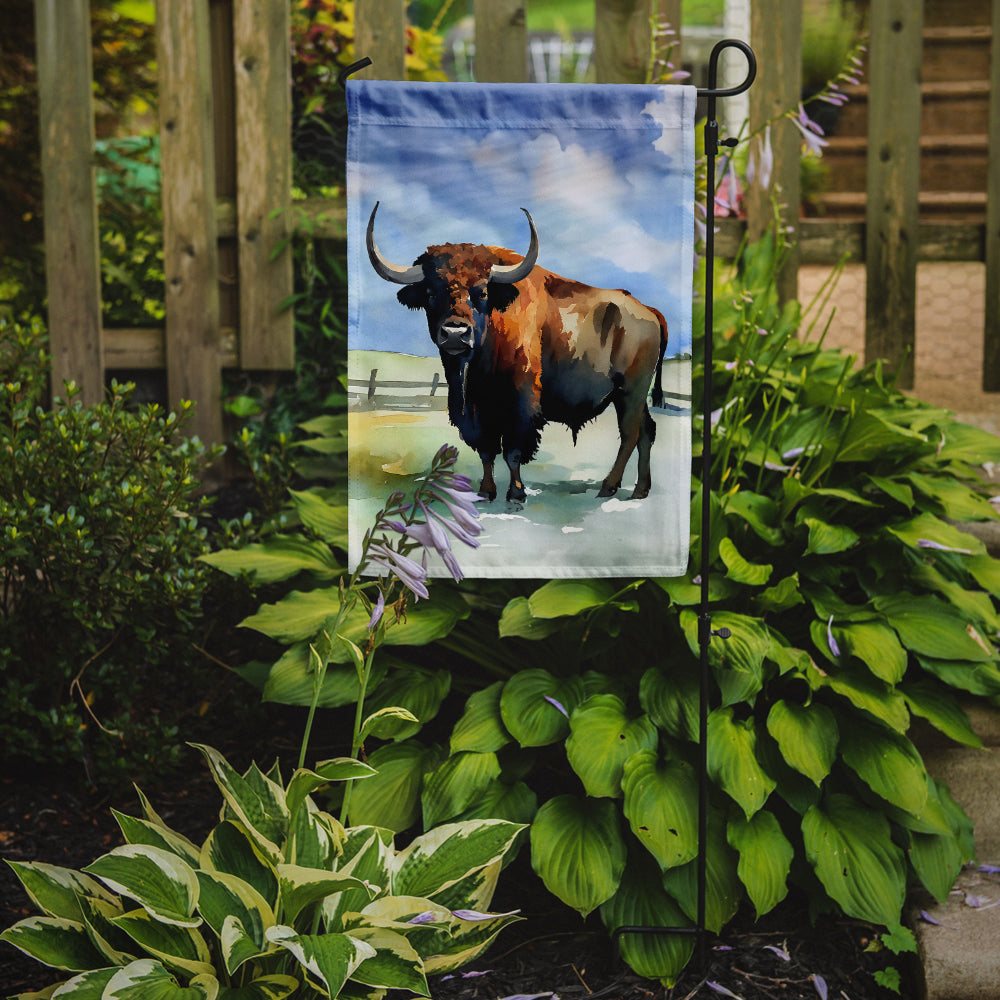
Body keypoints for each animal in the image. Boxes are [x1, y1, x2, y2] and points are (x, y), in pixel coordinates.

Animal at [366, 203, 664, 504]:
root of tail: (649, 311)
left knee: (629, 434)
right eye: (429, 292)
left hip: (630, 392)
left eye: (482, 292)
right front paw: (486, 491)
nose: (454, 333)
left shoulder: (520, 403)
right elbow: (486, 451)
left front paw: (516, 494)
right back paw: (640, 490)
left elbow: (513, 450)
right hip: (631, 396)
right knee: (646, 432)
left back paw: (608, 487)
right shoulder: (476, 411)